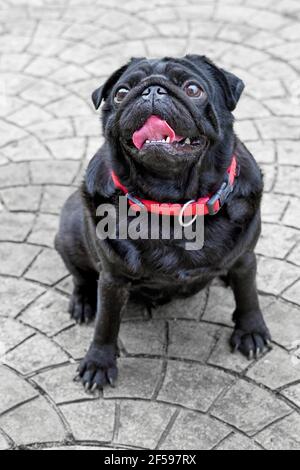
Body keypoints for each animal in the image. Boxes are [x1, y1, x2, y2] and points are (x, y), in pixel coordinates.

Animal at [55, 54, 270, 390]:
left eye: (193, 89)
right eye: (121, 93)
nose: (152, 90)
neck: (171, 204)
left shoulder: (245, 258)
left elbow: (248, 294)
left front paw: (250, 331)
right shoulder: (113, 278)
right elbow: (106, 323)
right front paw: (99, 362)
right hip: (69, 233)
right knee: (81, 277)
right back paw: (84, 302)